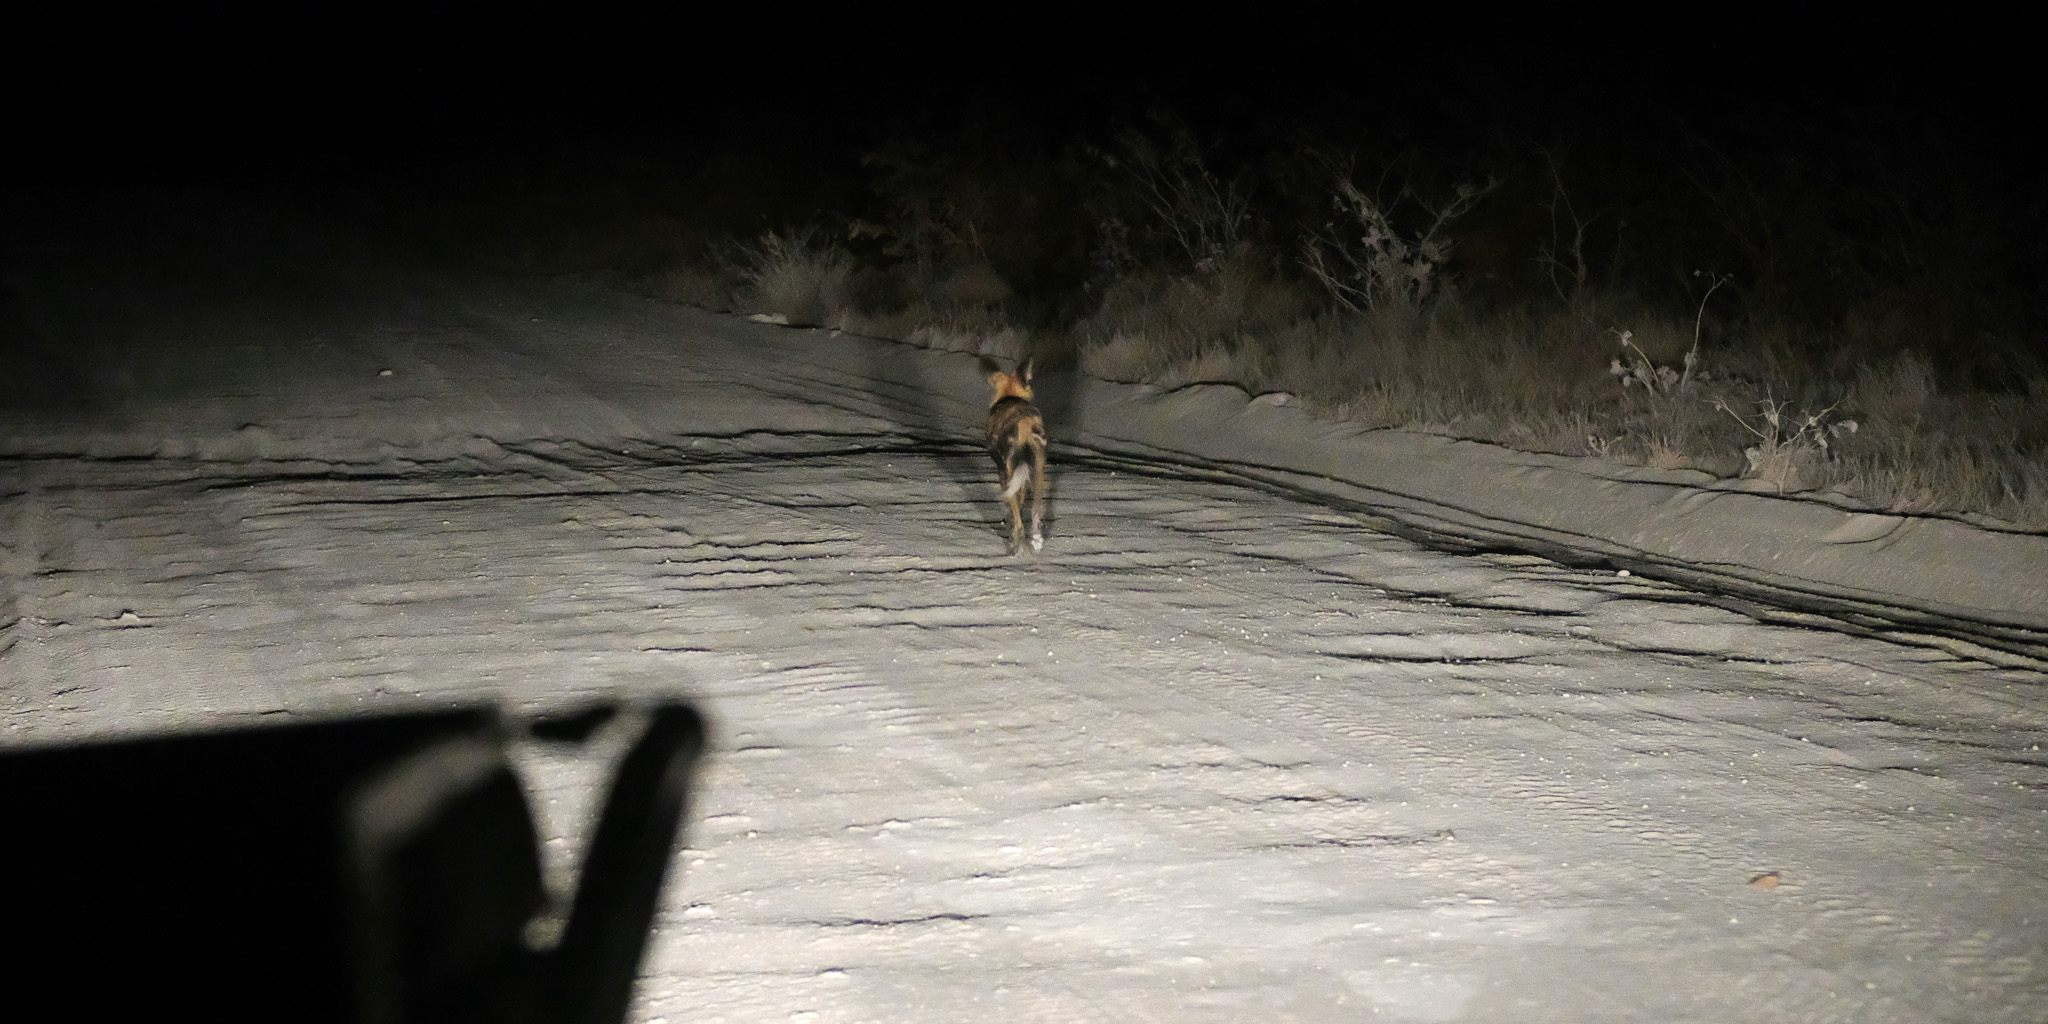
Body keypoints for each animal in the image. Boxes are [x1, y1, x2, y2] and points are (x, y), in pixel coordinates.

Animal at [981, 356, 1048, 554]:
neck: (1010, 396)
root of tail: (1024, 424)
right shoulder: (1024, 477)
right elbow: (1023, 499)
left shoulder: (1004, 473)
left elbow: (1014, 507)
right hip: (1038, 475)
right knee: (1035, 513)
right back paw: (1036, 540)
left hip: (1009, 474)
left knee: (1019, 522)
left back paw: (1014, 546)